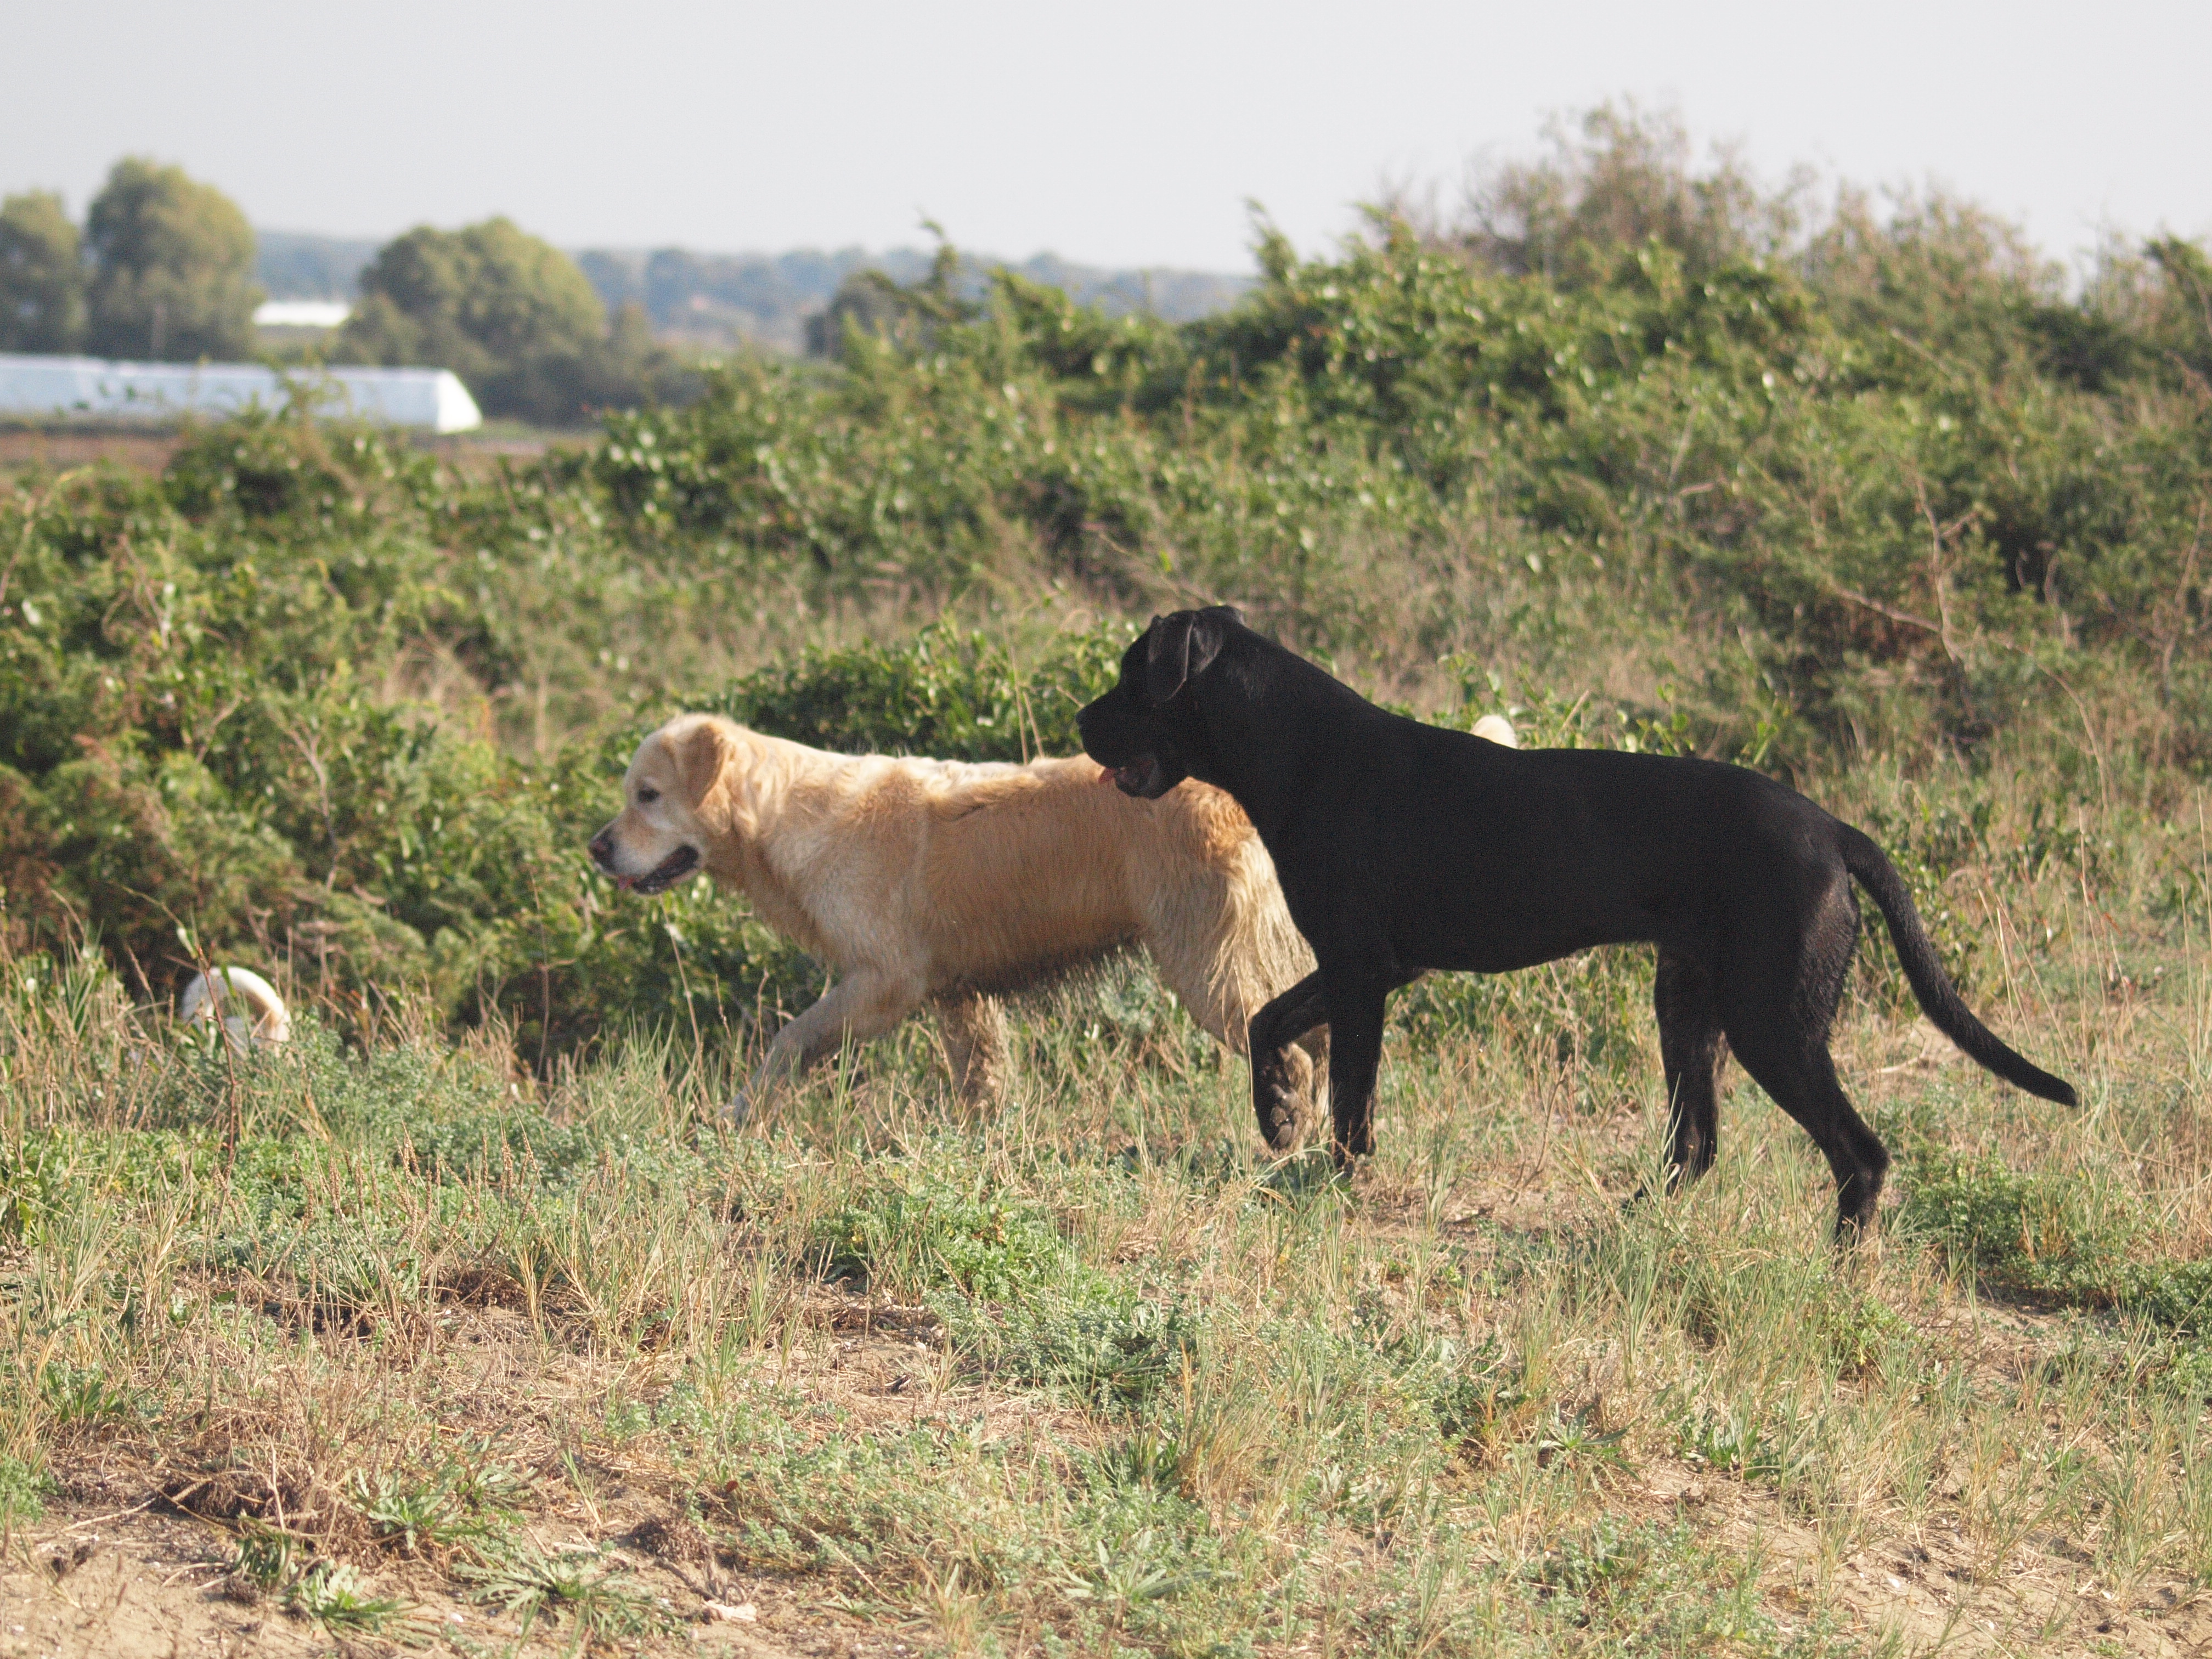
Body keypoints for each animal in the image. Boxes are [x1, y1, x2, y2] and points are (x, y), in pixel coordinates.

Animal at [587, 713, 1331, 1123]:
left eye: (647, 795)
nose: (596, 847)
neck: (783, 816)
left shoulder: (885, 981)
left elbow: (790, 1038)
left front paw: (737, 1114)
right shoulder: (959, 995)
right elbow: (981, 1078)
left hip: (1202, 961)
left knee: (1290, 1052)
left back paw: (1289, 1134)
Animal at [1076, 607, 2075, 1234]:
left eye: (1133, 677)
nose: (1082, 722)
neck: (1300, 751)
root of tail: (1834, 828)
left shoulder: (1362, 970)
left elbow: (1352, 1101)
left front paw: (1334, 1184)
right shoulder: (1363, 966)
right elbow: (1266, 1018)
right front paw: (1280, 1113)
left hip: (1772, 1021)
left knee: (1857, 1152)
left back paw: (1840, 1271)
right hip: (1688, 1006)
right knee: (1697, 1143)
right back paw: (1636, 1225)